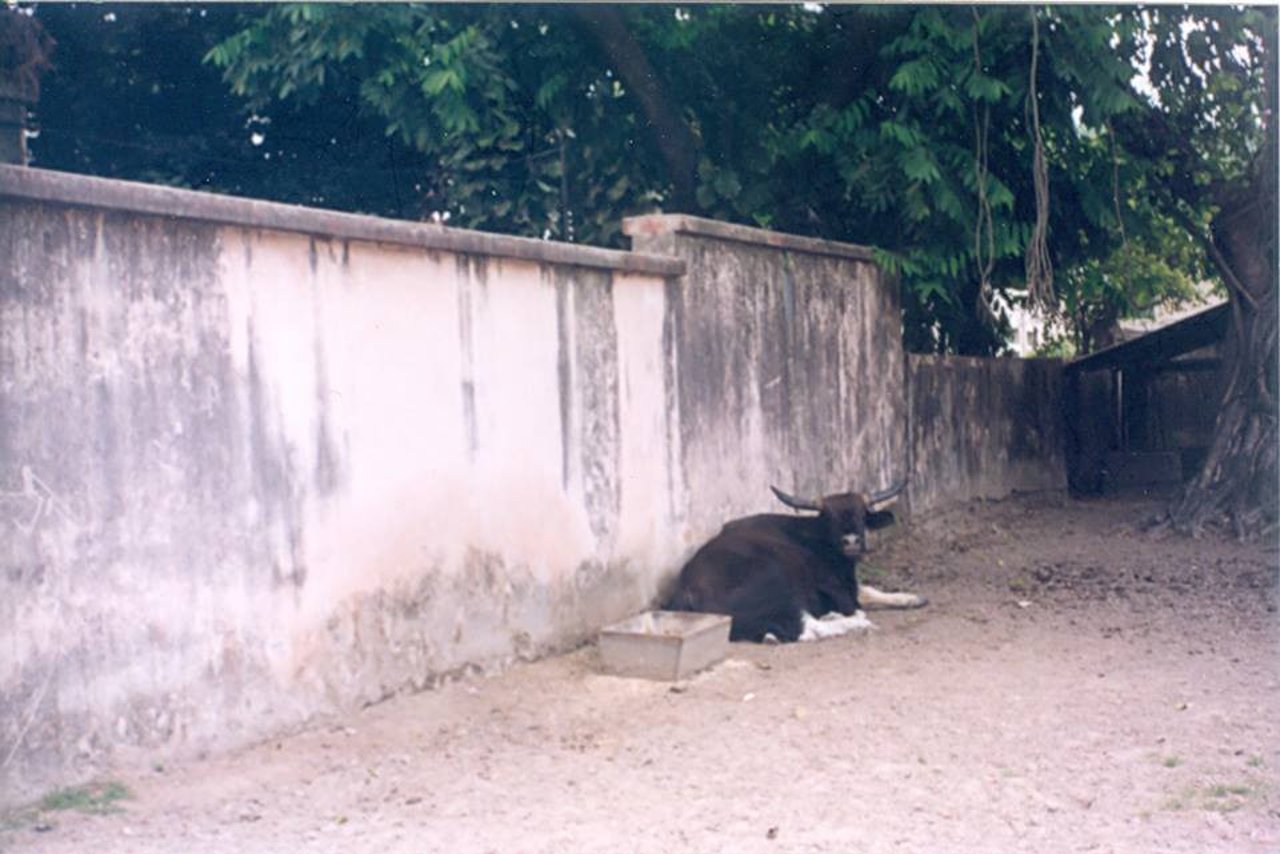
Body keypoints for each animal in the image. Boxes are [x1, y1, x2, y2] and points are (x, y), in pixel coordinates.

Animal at [665, 481, 926, 640]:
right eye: (829, 517)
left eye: (863, 514)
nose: (851, 541)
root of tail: (686, 590)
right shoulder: (839, 591)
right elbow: (859, 599)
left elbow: (869, 590)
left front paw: (912, 598)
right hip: (779, 584)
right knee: (806, 628)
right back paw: (852, 622)